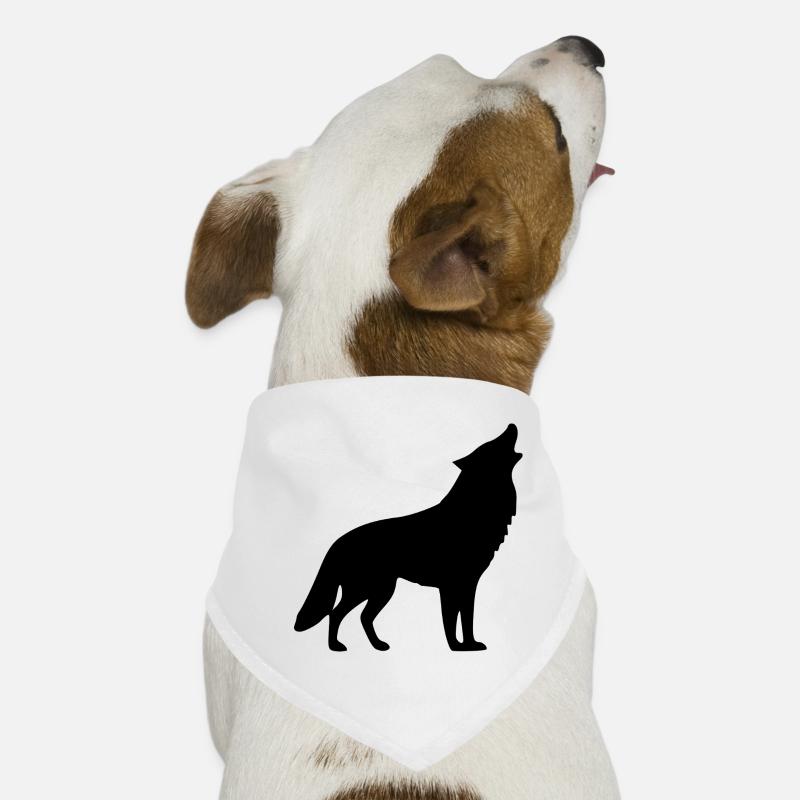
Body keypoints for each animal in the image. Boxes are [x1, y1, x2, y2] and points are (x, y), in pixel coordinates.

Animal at [295, 424, 522, 652]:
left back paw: (377, 645)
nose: (511, 425)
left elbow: (467, 619)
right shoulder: (451, 586)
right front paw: (456, 647)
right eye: (492, 444)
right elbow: (450, 620)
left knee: (363, 617)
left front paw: (470, 644)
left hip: (381, 590)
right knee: (337, 613)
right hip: (366, 590)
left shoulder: (468, 585)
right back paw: (336, 646)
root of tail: (337, 542)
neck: (475, 508)